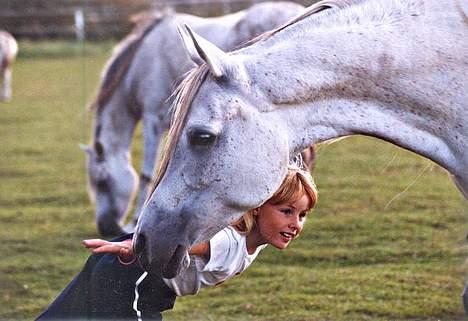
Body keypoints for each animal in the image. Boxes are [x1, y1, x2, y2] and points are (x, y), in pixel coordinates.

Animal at [82, 1, 306, 235]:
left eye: (102, 181)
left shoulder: (152, 120)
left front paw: (132, 223)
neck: (140, 64)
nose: (106, 228)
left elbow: (146, 175)